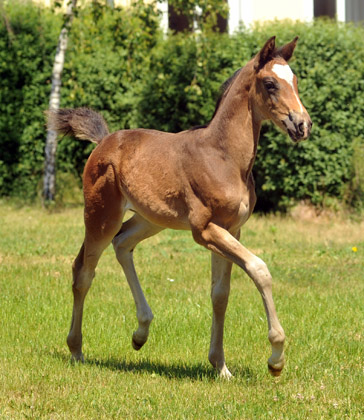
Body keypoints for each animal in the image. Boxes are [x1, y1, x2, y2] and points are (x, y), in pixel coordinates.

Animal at [47, 36, 312, 378]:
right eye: (270, 83)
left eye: (295, 81)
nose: (302, 124)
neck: (225, 157)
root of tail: (103, 141)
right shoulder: (204, 230)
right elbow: (259, 269)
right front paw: (276, 357)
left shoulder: (232, 229)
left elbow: (220, 294)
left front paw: (220, 366)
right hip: (101, 215)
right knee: (83, 270)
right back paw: (77, 350)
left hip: (150, 219)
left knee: (122, 243)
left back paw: (141, 332)